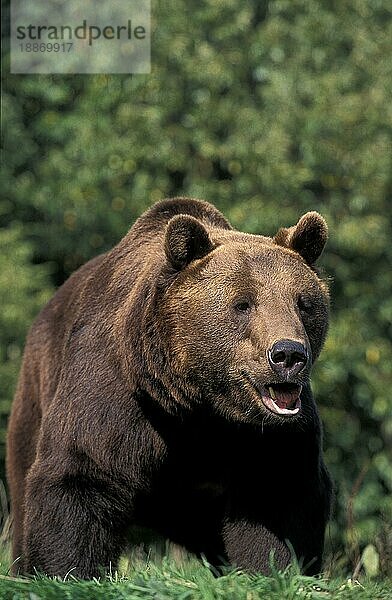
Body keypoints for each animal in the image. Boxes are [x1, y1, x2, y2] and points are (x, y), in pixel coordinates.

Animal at [5, 199, 330, 580]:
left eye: (303, 303)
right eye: (243, 303)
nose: (288, 354)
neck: (195, 404)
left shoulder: (266, 435)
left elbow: (278, 494)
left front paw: (272, 570)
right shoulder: (114, 394)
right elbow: (82, 474)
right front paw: (68, 571)